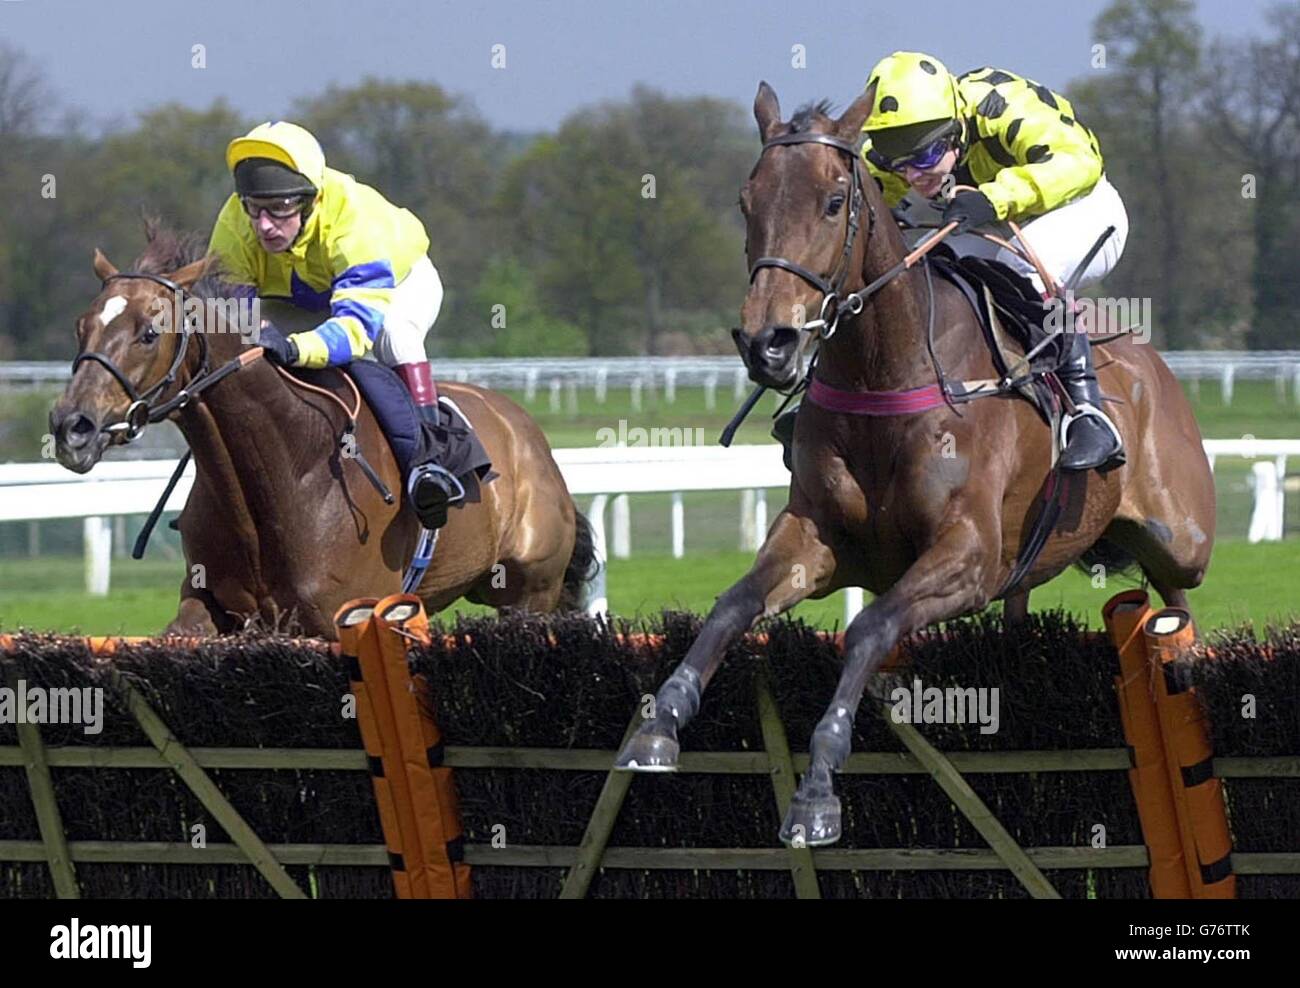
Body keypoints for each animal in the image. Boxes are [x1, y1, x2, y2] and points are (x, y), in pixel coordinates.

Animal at [48, 222, 595, 639]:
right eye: (80, 326)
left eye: (149, 333)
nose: (72, 426)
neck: (285, 469)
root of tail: (526, 431)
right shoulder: (210, 604)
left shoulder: (341, 617)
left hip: (530, 593)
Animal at [618, 82, 1216, 847]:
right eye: (746, 201)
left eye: (833, 202)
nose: (767, 343)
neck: (885, 369)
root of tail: (1151, 363)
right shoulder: (816, 537)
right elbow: (732, 606)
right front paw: (658, 724)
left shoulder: (968, 556)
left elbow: (869, 629)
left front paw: (817, 792)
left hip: (1180, 539)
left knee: (1177, 594)